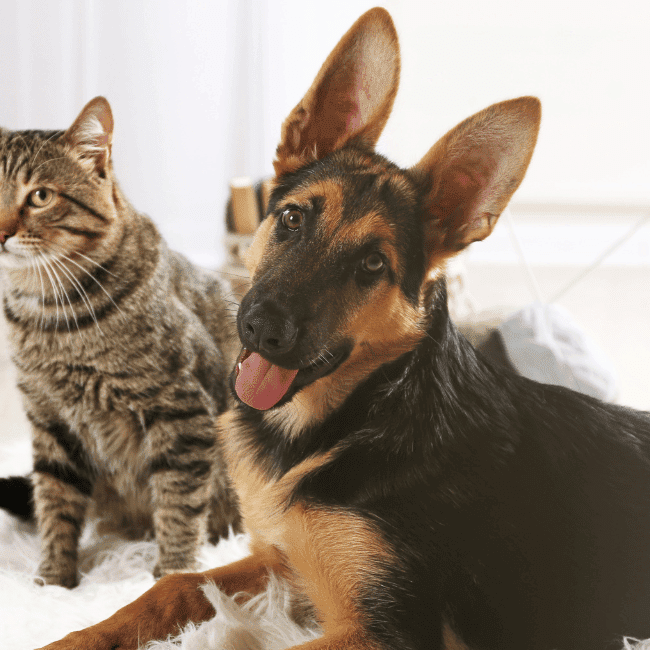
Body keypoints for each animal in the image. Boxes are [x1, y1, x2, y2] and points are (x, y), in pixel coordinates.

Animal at [0, 96, 240, 588]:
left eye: (40, 196)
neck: (49, 319)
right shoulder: (48, 418)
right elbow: (55, 500)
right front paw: (55, 580)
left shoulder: (181, 410)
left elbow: (179, 500)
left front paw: (173, 573)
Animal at [36, 6, 648, 648]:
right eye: (291, 218)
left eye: (373, 265)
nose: (262, 329)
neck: (366, 407)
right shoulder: (282, 562)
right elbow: (173, 585)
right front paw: (76, 636)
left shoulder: (387, 630)